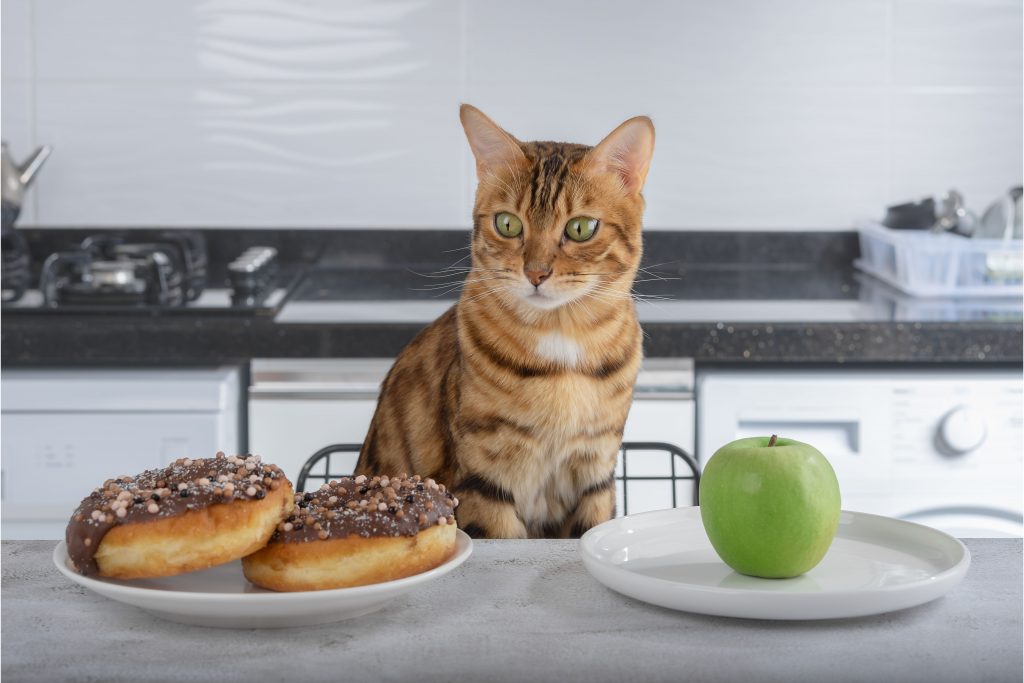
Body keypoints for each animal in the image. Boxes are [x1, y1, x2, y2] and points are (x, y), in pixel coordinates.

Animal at [354, 104, 655, 540]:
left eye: (581, 228)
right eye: (508, 224)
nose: (536, 272)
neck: (560, 343)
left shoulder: (596, 472)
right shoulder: (483, 479)